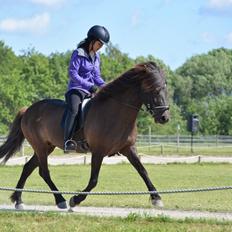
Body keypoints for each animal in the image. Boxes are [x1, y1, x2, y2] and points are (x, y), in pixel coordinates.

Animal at [0, 60, 169, 209]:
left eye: (165, 89)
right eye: (154, 89)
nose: (164, 117)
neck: (116, 113)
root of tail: (28, 110)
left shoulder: (128, 149)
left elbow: (143, 171)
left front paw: (157, 198)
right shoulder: (98, 151)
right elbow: (94, 180)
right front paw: (75, 200)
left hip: (46, 147)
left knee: (28, 167)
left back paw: (19, 200)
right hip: (40, 147)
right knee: (44, 172)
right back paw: (61, 200)